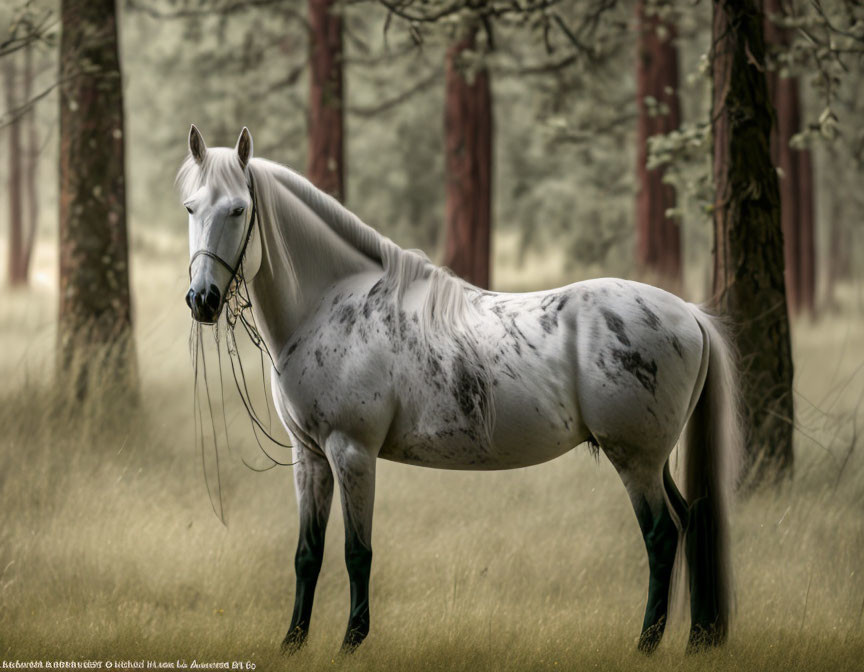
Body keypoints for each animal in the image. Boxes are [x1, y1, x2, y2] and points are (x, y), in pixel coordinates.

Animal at [177, 126, 744, 656]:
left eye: (238, 209)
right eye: (190, 207)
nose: (203, 300)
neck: (330, 303)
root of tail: (688, 313)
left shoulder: (352, 451)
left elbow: (357, 552)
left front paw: (352, 640)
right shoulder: (310, 455)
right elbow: (307, 554)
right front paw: (293, 642)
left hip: (636, 459)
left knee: (662, 535)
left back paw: (647, 642)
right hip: (653, 459)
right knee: (690, 520)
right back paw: (696, 638)